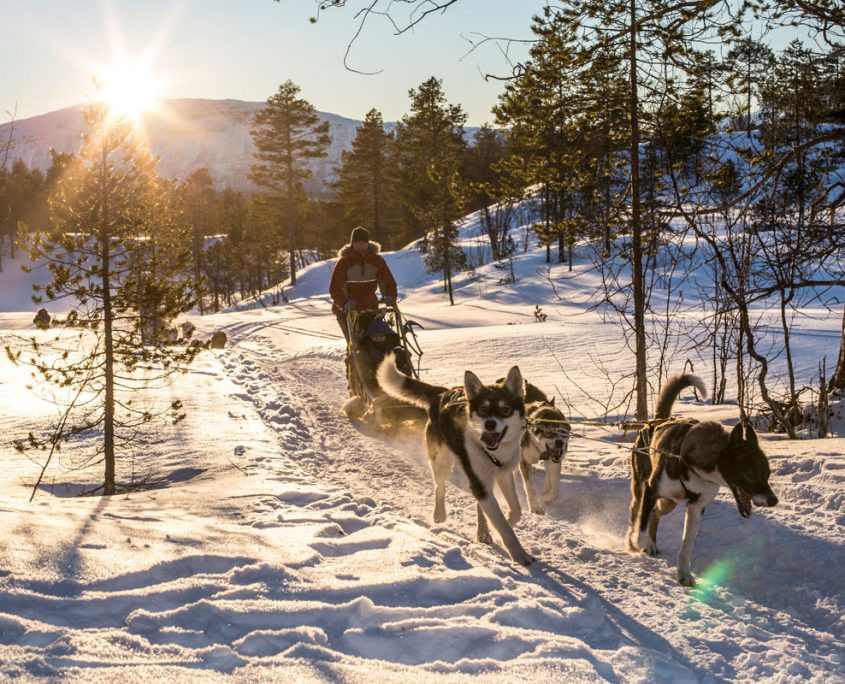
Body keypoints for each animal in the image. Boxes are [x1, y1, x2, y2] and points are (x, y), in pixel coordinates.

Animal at [378, 352, 536, 568]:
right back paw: (439, 514)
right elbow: (503, 525)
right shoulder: (480, 482)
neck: (494, 452)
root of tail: (442, 394)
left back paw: (483, 531)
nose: (489, 424)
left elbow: (514, 512)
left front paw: (493, 530)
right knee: (439, 487)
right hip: (440, 461)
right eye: (483, 409)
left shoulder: (503, 475)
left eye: (505, 409)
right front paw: (519, 553)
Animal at [628, 376, 780, 584]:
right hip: (642, 488)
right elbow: (641, 526)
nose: (774, 500)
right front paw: (640, 543)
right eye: (751, 474)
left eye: (767, 474)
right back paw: (634, 543)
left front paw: (684, 574)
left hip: (670, 502)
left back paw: (652, 544)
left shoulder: (696, 506)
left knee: (654, 514)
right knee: (637, 513)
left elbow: (687, 546)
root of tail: (657, 421)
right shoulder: (651, 489)